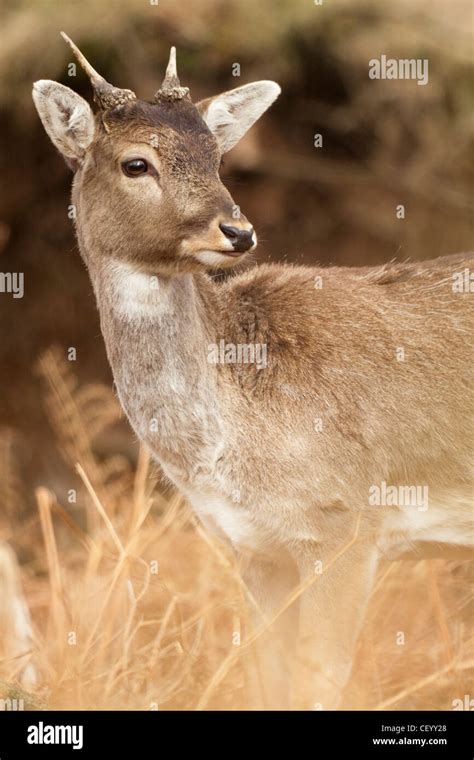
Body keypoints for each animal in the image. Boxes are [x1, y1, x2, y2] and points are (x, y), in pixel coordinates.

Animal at [31, 34, 472, 712]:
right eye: (136, 164)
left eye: (217, 157)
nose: (237, 231)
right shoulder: (254, 548)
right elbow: (266, 680)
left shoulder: (346, 521)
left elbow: (317, 684)